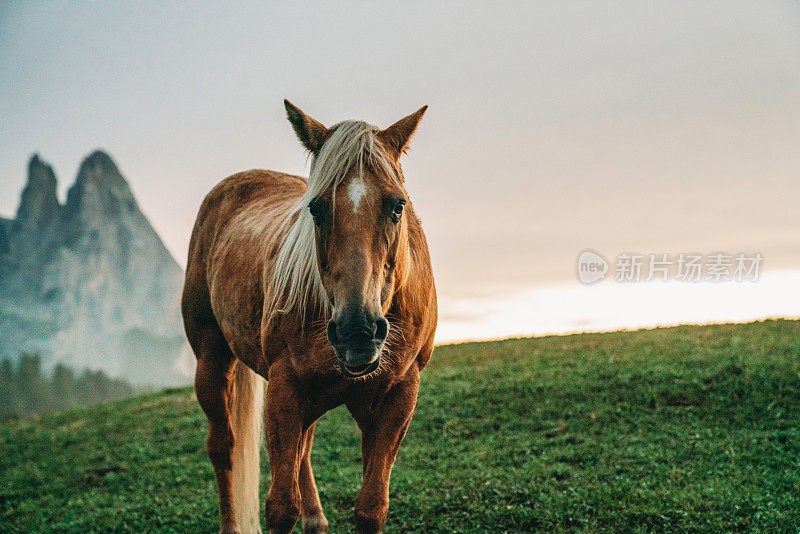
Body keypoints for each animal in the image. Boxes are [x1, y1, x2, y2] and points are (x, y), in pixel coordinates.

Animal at [182, 101, 438, 534]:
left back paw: (315, 518)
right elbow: (281, 507)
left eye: (396, 205)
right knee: (223, 448)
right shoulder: (285, 386)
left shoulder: (398, 395)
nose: (357, 331)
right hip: (212, 360)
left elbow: (371, 506)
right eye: (316, 208)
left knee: (303, 448)